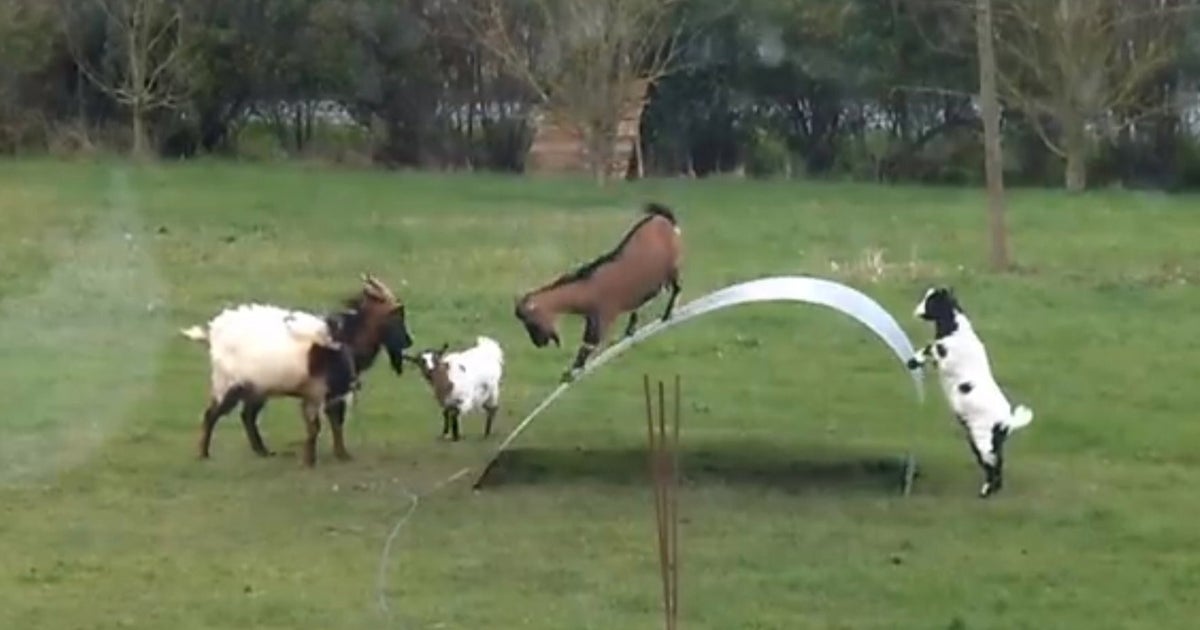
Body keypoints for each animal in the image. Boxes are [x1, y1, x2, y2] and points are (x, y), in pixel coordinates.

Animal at [181, 273, 414, 466]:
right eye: (396, 313)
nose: (408, 341)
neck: (342, 339)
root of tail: (213, 331)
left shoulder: (335, 393)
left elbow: (337, 423)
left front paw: (342, 455)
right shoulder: (315, 392)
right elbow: (315, 426)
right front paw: (309, 461)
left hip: (257, 387)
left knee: (247, 415)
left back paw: (262, 451)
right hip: (229, 383)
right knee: (212, 414)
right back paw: (203, 454)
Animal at [514, 202, 683, 382]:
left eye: (531, 321)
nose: (539, 343)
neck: (587, 288)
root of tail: (664, 219)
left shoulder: (603, 316)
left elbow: (589, 345)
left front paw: (571, 371)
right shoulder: (592, 318)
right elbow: (587, 343)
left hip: (673, 268)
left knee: (676, 288)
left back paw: (667, 313)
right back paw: (633, 327)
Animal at [907, 287, 1034, 498]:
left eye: (931, 300)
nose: (916, 311)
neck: (956, 331)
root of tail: (1007, 422)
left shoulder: (945, 357)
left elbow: (930, 347)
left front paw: (913, 361)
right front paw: (914, 361)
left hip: (983, 440)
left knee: (994, 463)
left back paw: (986, 491)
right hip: (984, 441)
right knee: (997, 461)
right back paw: (992, 490)